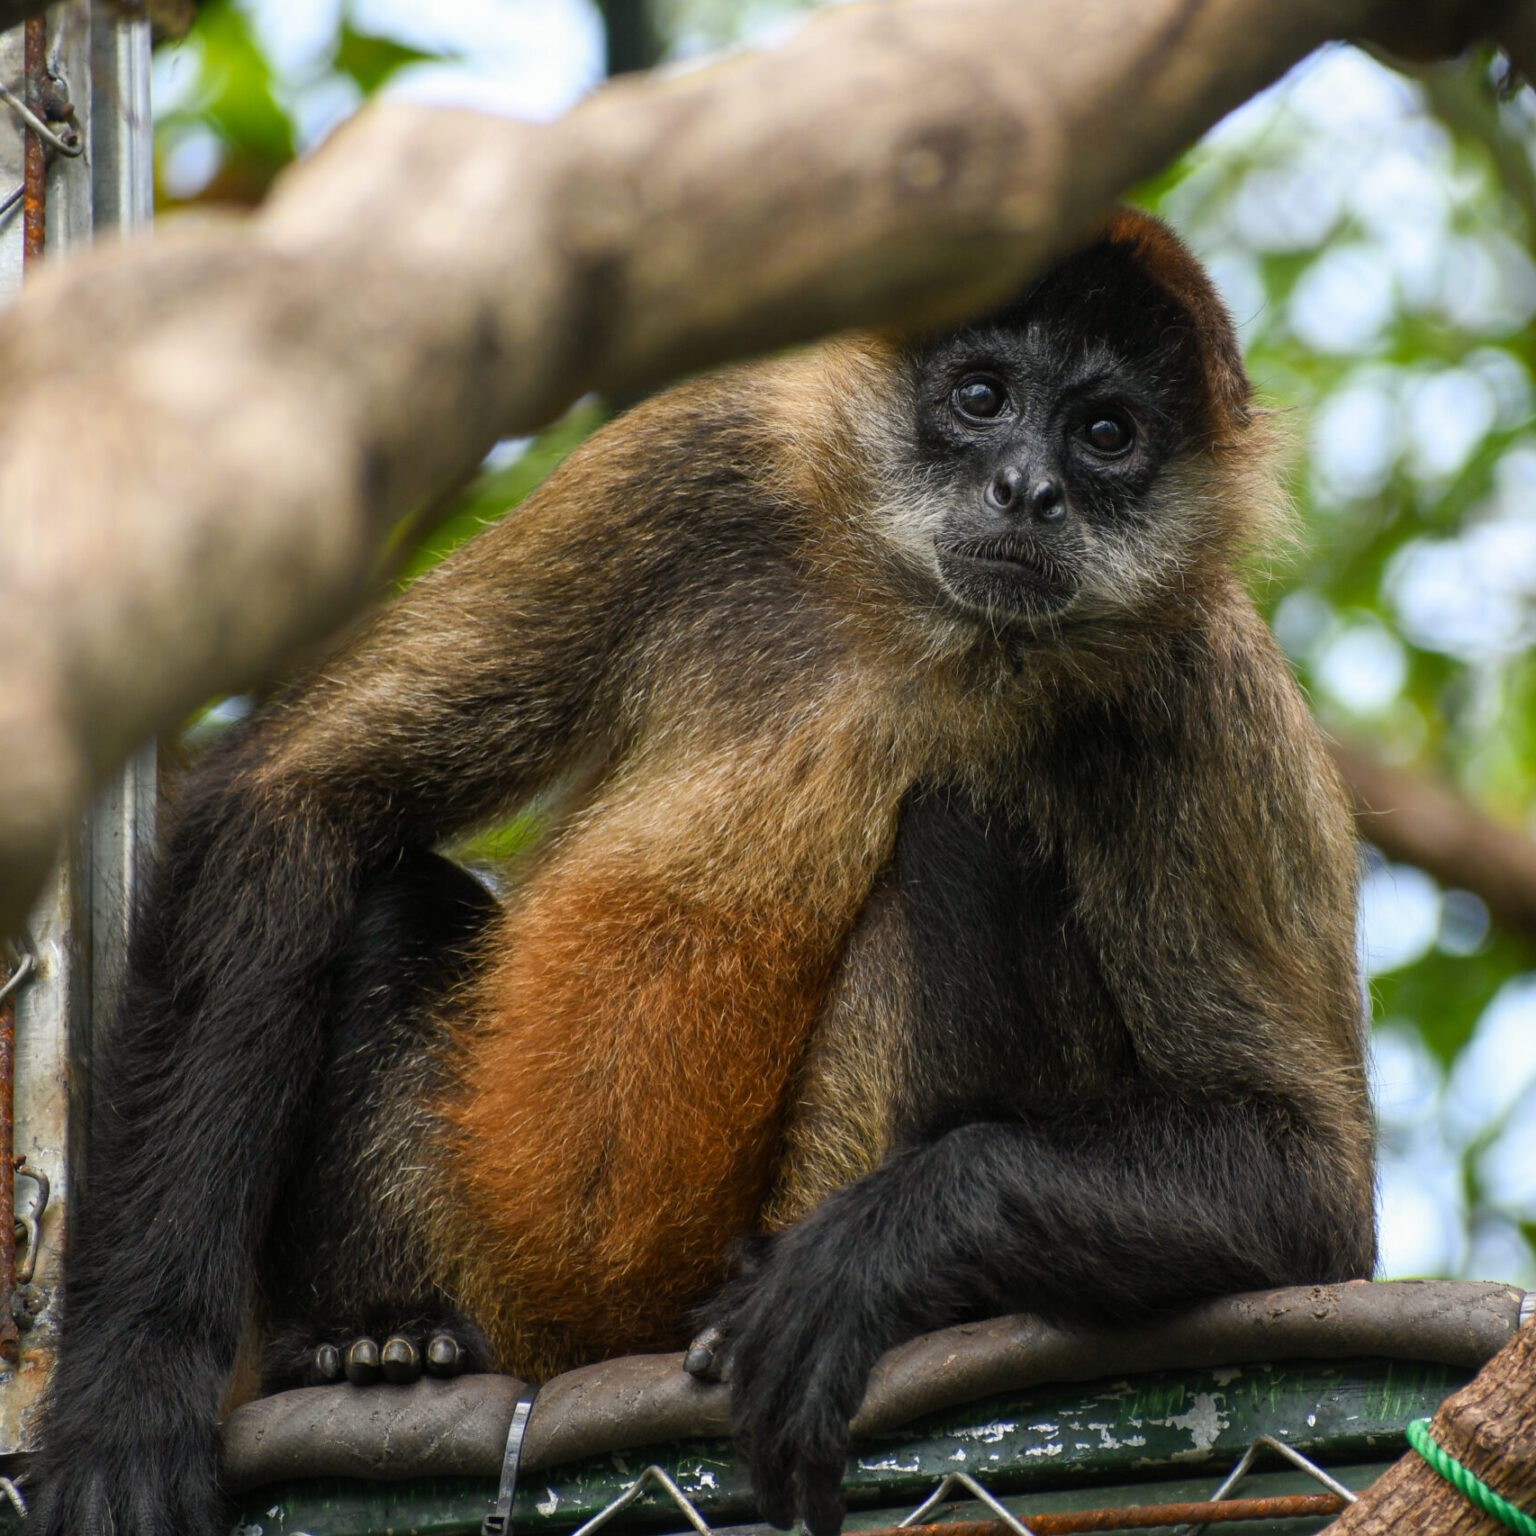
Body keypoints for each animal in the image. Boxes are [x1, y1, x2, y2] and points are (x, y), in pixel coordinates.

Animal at [33, 210, 1382, 1536]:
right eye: (982, 397)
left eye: (1107, 433)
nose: (1030, 489)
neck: (940, 635)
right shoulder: (696, 460)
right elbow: (295, 795)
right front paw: (130, 1385)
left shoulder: (1197, 687)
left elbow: (1313, 1199)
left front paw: (863, 1258)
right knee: (377, 890)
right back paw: (380, 1342)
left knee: (971, 820)